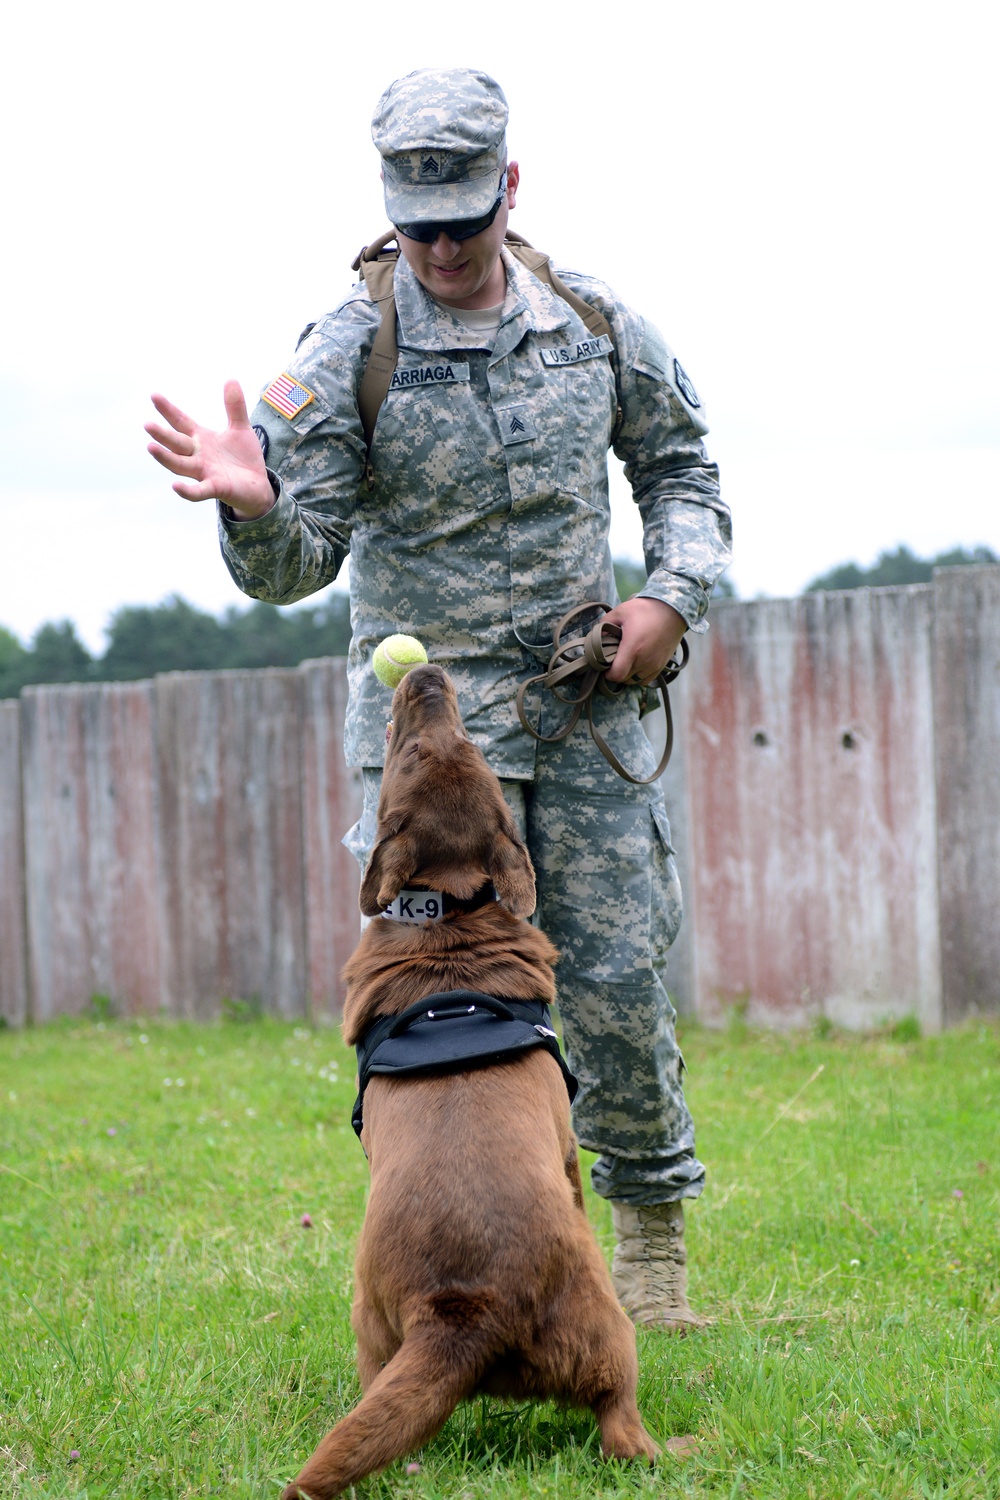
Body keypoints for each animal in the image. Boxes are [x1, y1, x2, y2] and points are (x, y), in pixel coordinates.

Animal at [277, 672, 659, 1500]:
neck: (447, 913)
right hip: (600, 1333)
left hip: (368, 1318)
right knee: (621, 1427)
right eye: (430, 747)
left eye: (456, 744)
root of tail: (467, 1310)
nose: (426, 676)